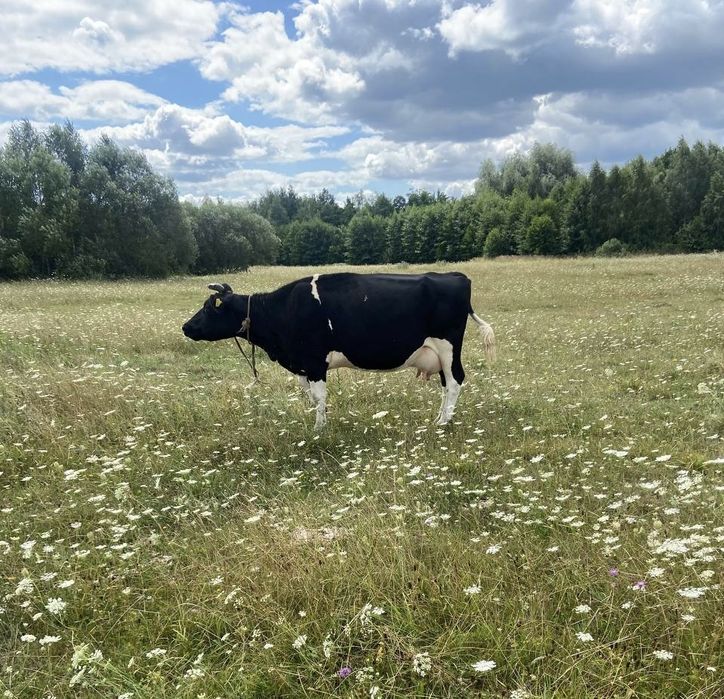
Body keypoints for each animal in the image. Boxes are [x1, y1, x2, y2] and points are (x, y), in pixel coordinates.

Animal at [182, 272, 495, 429]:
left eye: (208, 308)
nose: (186, 327)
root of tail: (457, 276)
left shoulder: (314, 361)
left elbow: (319, 397)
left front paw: (319, 429)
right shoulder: (304, 365)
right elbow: (311, 397)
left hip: (448, 347)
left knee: (455, 381)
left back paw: (443, 423)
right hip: (439, 354)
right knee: (446, 384)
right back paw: (439, 418)